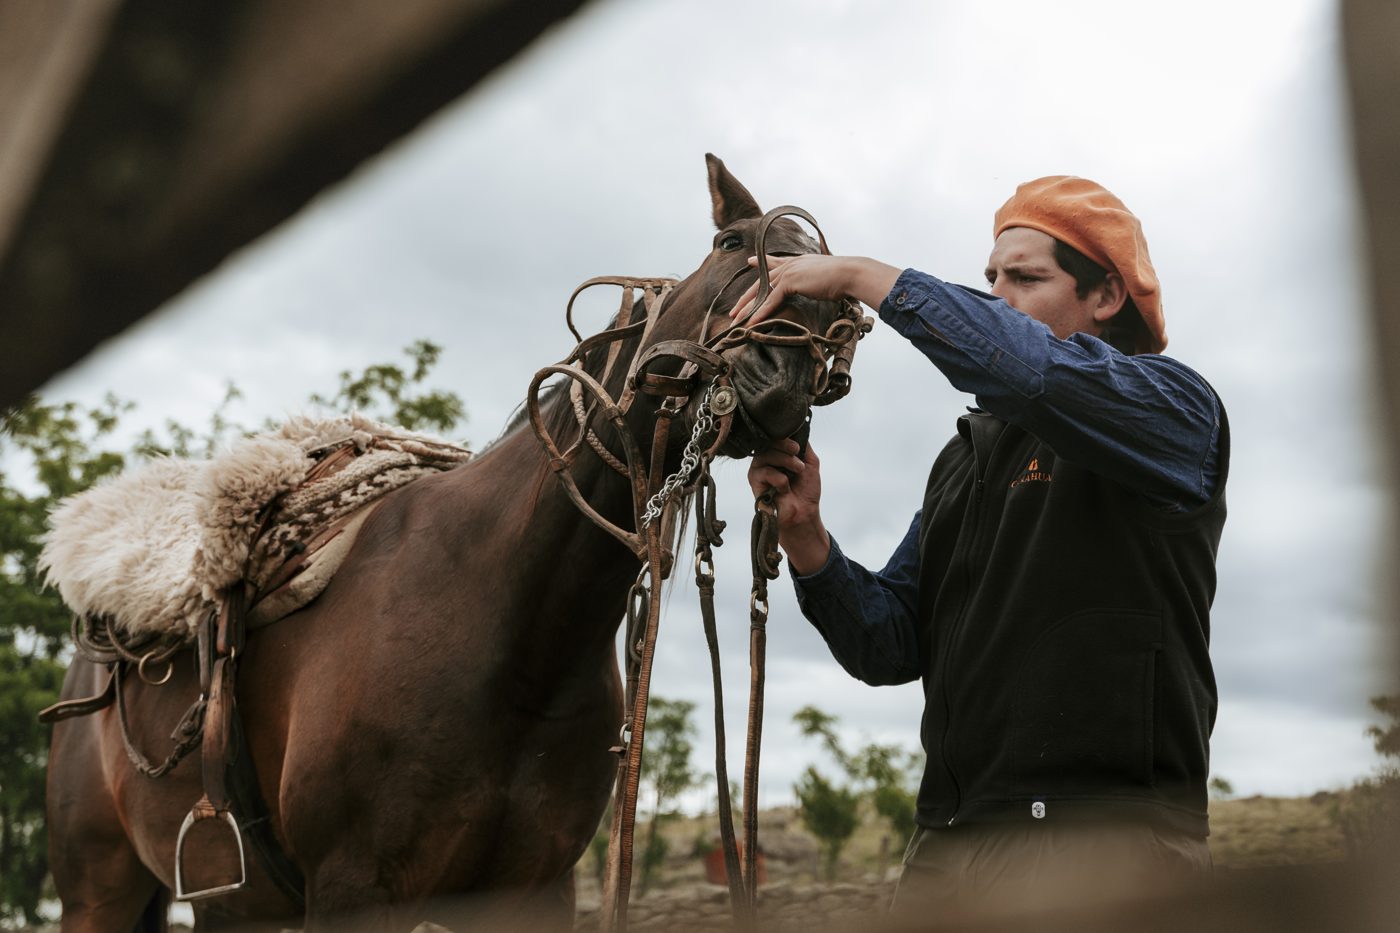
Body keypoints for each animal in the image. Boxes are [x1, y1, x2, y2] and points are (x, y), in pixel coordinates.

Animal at [44, 154, 853, 932]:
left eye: (842, 310)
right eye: (731, 243)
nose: (778, 376)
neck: (517, 631)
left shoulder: (534, 893)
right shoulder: (351, 889)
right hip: (99, 894)